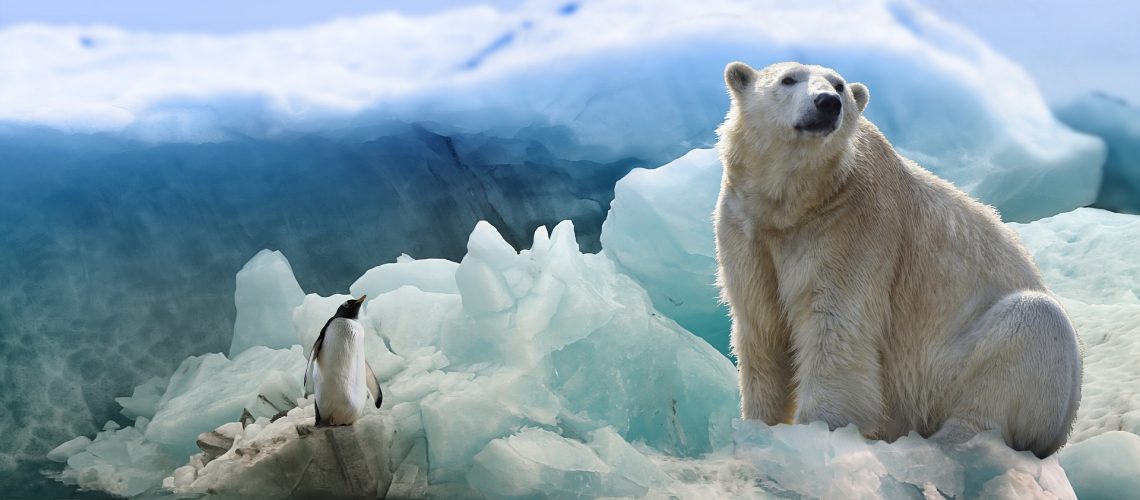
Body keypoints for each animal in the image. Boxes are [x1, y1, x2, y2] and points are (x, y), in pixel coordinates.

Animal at [713, 61, 1082, 458]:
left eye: (839, 86)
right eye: (788, 79)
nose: (827, 103)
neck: (796, 204)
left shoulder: (852, 226)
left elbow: (835, 329)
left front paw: (818, 432)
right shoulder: (747, 230)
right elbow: (762, 328)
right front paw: (759, 428)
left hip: (952, 371)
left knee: (1031, 326)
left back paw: (951, 441)